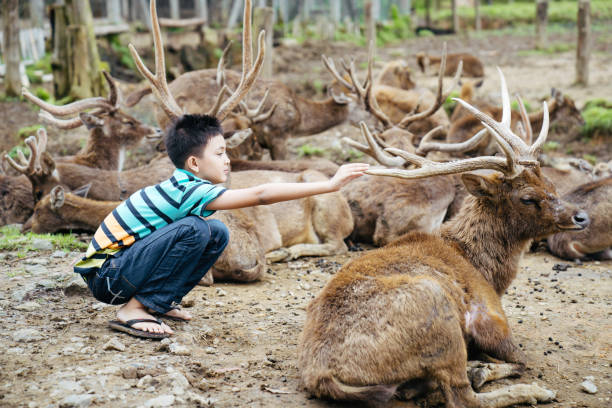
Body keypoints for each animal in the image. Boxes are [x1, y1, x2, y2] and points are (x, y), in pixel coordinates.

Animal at [298, 68, 592, 406]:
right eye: (528, 198)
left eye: (551, 184)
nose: (581, 216)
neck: (485, 270)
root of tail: (322, 376)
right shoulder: (491, 316)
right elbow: (521, 360)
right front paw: (485, 369)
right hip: (440, 313)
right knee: (463, 395)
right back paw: (528, 389)